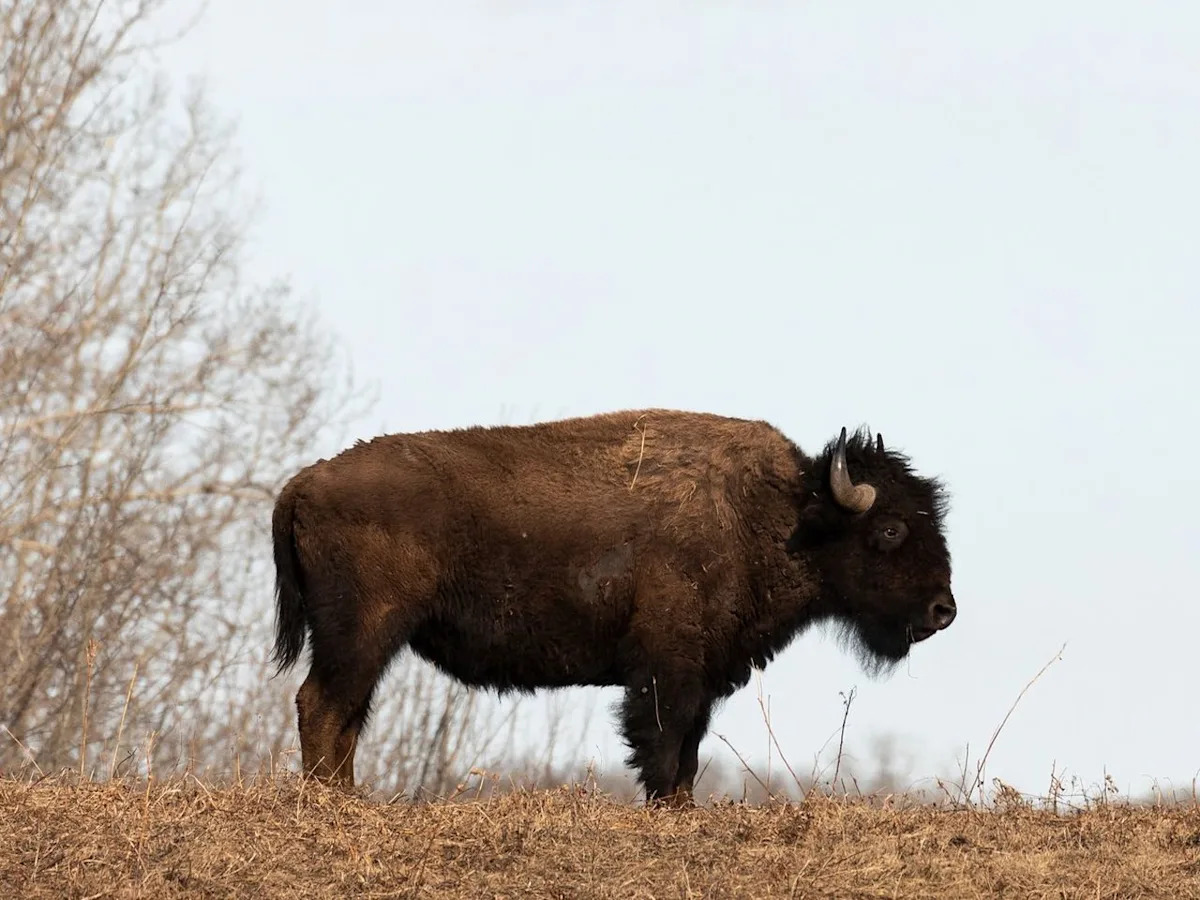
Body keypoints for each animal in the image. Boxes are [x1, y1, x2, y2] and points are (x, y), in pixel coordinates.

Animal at [270, 408, 956, 806]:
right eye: (891, 529)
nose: (942, 611)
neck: (782, 512)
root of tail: (302, 483)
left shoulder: (704, 673)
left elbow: (690, 749)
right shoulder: (665, 667)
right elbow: (664, 741)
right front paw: (666, 808)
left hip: (366, 643)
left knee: (346, 713)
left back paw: (346, 798)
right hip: (363, 632)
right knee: (322, 705)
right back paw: (332, 803)